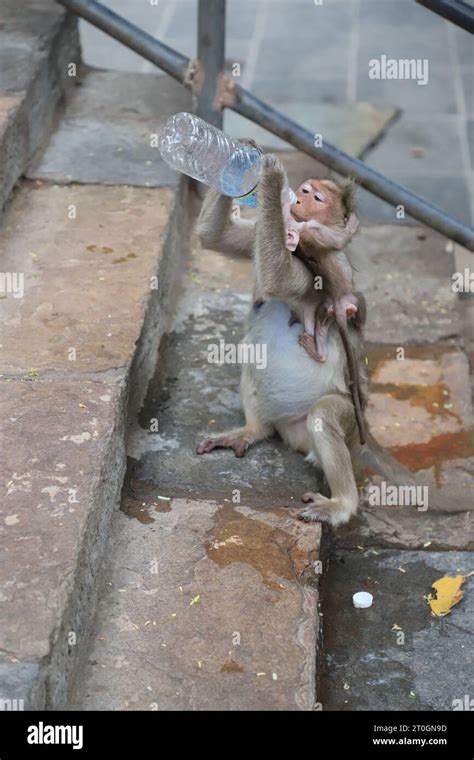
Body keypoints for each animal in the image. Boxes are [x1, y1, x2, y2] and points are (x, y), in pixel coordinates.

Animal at [194, 152, 468, 524]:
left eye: (317, 197)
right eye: (306, 190)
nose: (299, 198)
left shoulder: (314, 254)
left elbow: (281, 277)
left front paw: (270, 178)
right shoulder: (265, 236)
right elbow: (214, 238)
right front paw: (245, 154)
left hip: (349, 417)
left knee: (324, 414)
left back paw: (342, 504)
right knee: (252, 355)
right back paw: (253, 430)